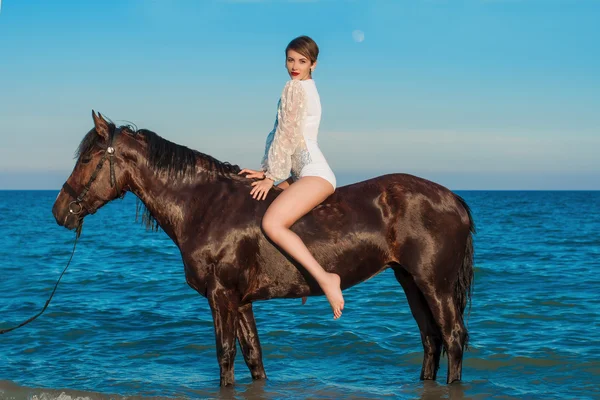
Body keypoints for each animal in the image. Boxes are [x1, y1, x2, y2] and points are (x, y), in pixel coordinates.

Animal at [51, 111, 474, 386]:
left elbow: (225, 355)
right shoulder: (240, 301)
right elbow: (253, 356)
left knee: (453, 338)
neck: (205, 204)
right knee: (431, 340)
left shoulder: (221, 296)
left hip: (434, 285)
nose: (59, 212)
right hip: (410, 281)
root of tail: (453, 198)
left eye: (87, 158)